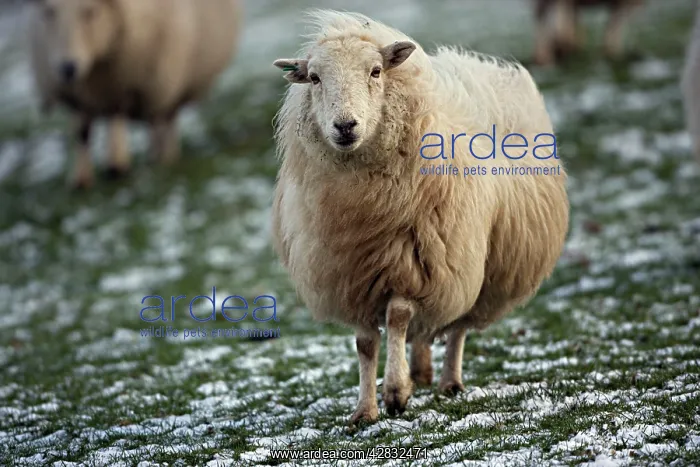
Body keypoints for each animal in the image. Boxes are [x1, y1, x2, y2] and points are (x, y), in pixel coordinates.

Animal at [27, 0, 241, 188]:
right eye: (49, 12)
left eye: (91, 11)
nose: (68, 67)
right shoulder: (82, 95)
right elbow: (82, 131)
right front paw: (81, 180)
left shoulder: (133, 81)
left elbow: (123, 115)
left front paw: (121, 166)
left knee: (163, 119)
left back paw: (161, 156)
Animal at [271, 10, 570, 425]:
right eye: (314, 78)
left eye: (376, 71)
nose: (345, 126)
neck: (366, 209)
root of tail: (478, 63)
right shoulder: (351, 275)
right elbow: (365, 344)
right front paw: (365, 410)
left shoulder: (414, 264)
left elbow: (398, 317)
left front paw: (396, 393)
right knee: (427, 330)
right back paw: (422, 370)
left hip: (475, 267)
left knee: (458, 326)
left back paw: (448, 381)